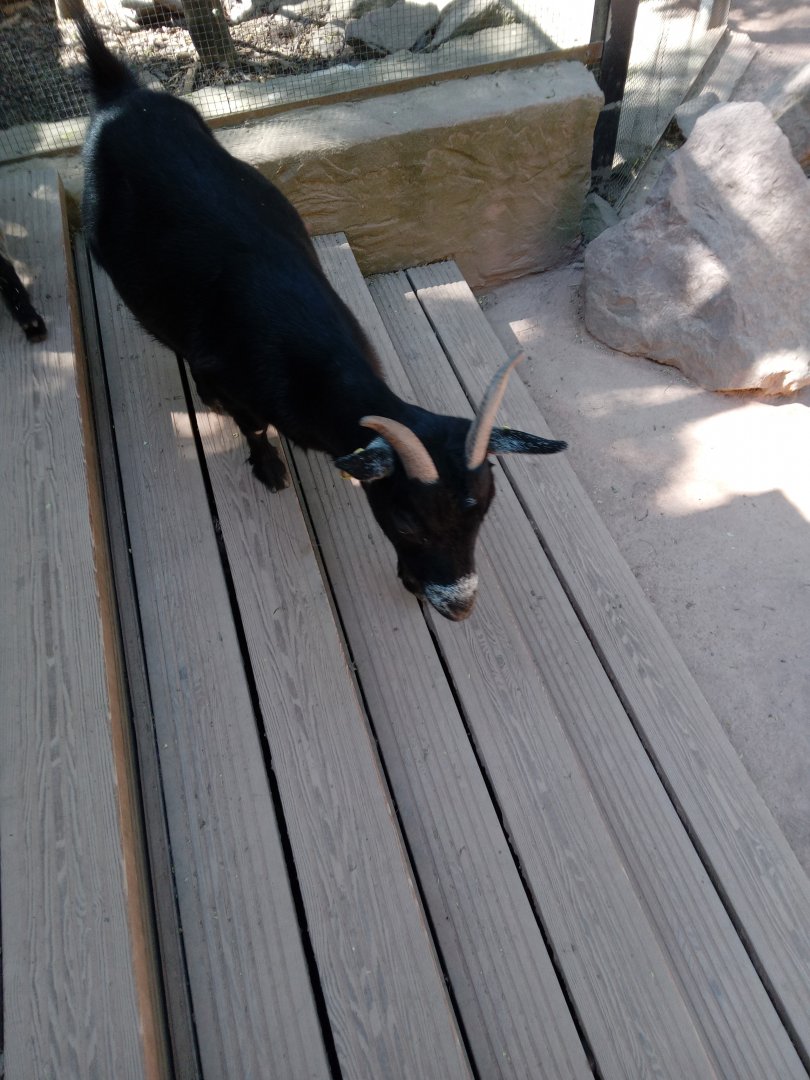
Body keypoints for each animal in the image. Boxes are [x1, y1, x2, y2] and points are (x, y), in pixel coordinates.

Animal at [72, 11, 566, 620]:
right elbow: (252, 425)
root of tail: (121, 94)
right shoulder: (237, 379)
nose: (459, 605)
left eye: (484, 508)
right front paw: (268, 470)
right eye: (407, 519)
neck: (309, 362)